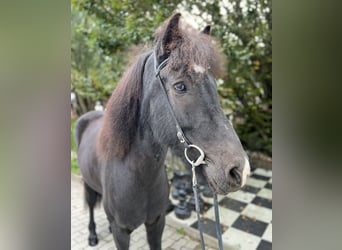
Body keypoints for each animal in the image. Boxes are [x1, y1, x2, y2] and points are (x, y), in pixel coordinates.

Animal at [76, 13, 250, 250]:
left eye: (214, 86)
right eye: (180, 86)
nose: (240, 170)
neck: (138, 176)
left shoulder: (157, 223)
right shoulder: (122, 233)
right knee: (92, 205)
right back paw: (92, 235)